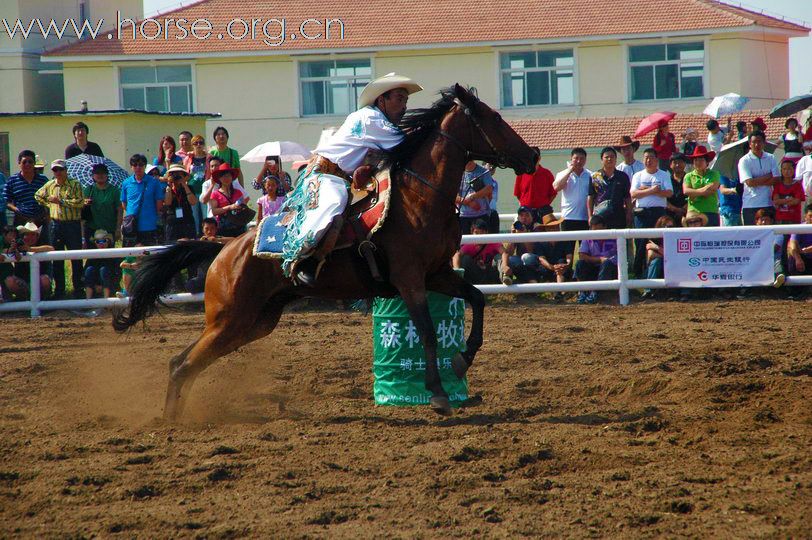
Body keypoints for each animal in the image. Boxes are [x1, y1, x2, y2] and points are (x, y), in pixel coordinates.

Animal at [111, 85, 536, 422]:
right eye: (494, 117)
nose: (532, 155)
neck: (420, 197)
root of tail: (224, 249)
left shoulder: (438, 274)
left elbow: (477, 299)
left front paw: (463, 359)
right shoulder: (410, 280)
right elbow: (429, 332)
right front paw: (438, 394)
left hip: (253, 321)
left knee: (182, 362)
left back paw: (175, 415)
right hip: (230, 318)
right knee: (184, 364)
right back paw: (171, 422)